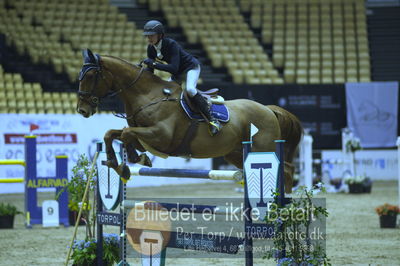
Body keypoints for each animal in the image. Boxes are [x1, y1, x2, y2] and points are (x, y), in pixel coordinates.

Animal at [76, 48, 302, 192]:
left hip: (263, 147)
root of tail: (269, 109)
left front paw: (131, 160)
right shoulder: (145, 138)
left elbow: (125, 133)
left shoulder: (161, 136)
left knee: (287, 169)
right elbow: (113, 134)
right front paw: (122, 162)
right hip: (236, 154)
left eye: (91, 75)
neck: (147, 95)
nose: (82, 110)